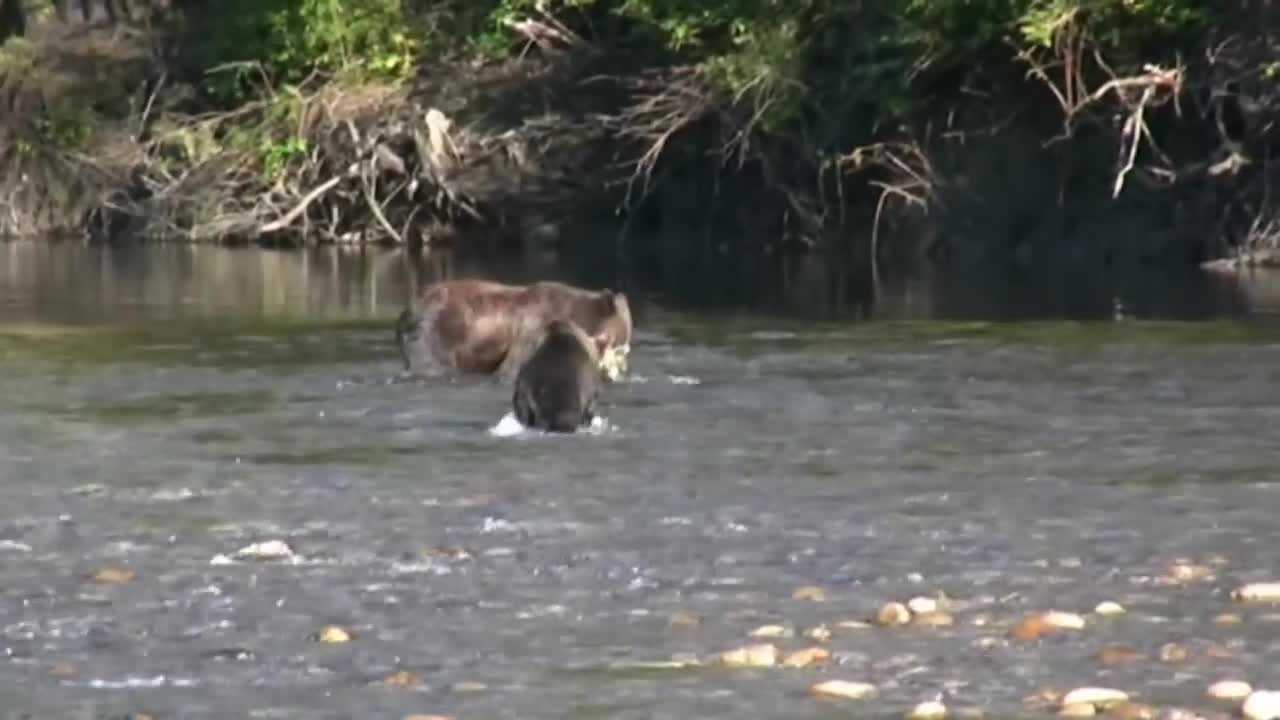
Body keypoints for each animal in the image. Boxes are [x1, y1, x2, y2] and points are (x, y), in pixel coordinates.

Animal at [389, 279, 629, 381]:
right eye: (620, 348)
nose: (622, 369)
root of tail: (409, 309)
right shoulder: (534, 328)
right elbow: (512, 367)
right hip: (435, 332)